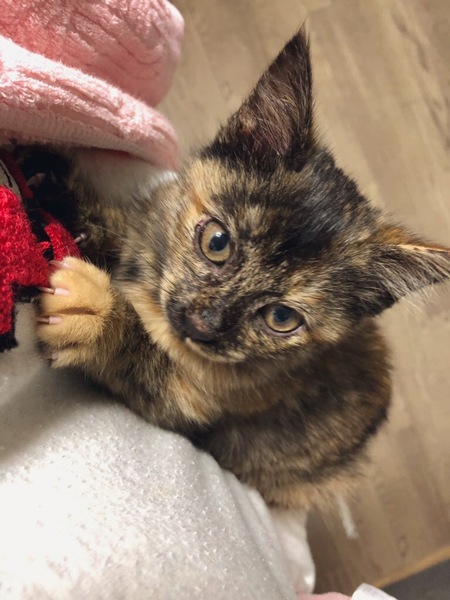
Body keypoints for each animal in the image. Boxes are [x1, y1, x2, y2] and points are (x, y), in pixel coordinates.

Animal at [30, 30, 450, 509]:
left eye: (281, 317)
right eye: (217, 242)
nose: (204, 321)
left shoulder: (186, 406)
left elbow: (141, 362)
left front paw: (96, 316)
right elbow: (127, 234)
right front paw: (59, 187)